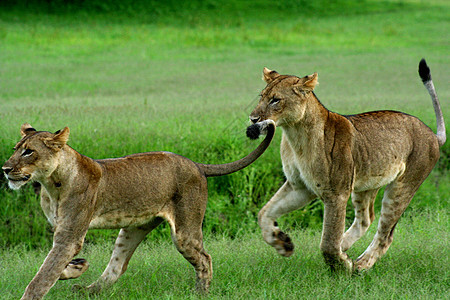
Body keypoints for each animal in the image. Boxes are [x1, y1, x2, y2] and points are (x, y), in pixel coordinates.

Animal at [1, 118, 274, 298]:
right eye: (15, 149)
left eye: (28, 152)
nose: (5, 169)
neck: (50, 184)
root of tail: (196, 164)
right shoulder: (62, 234)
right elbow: (53, 268)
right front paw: (77, 267)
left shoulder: (69, 237)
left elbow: (42, 276)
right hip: (133, 228)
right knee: (118, 266)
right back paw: (88, 291)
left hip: (184, 231)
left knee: (204, 258)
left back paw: (201, 293)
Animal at [248, 58, 444, 272]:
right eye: (261, 97)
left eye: (275, 100)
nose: (253, 118)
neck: (295, 135)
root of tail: (432, 134)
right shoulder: (299, 186)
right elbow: (264, 213)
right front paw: (282, 243)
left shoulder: (336, 193)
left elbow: (328, 242)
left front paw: (342, 266)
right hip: (367, 183)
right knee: (365, 219)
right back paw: (346, 248)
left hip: (403, 187)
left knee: (385, 234)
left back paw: (360, 265)